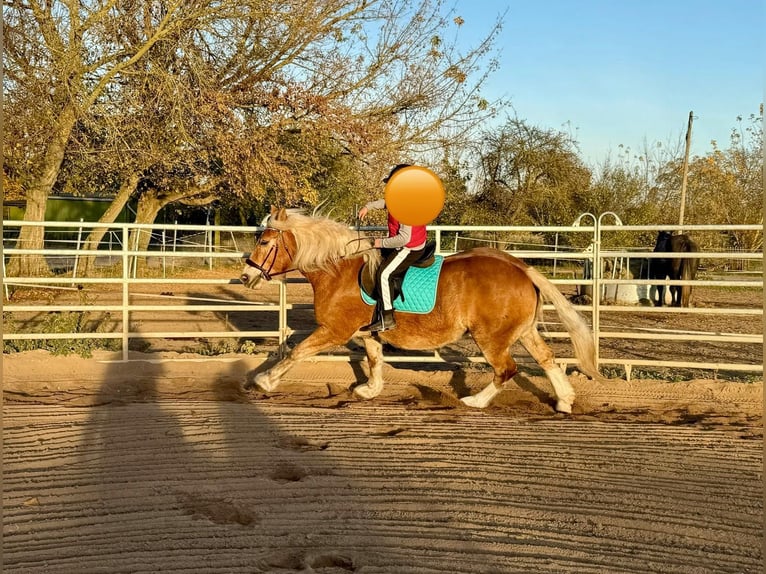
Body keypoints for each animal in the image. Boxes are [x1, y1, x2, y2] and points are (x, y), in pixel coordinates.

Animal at [238, 207, 600, 414]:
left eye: (266, 242)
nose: (245, 276)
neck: (340, 269)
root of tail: (521, 267)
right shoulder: (367, 332)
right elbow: (374, 360)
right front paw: (369, 390)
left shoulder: (334, 330)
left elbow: (296, 352)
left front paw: (264, 380)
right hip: (523, 331)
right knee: (547, 360)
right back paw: (564, 401)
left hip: (492, 338)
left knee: (506, 370)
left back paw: (474, 402)